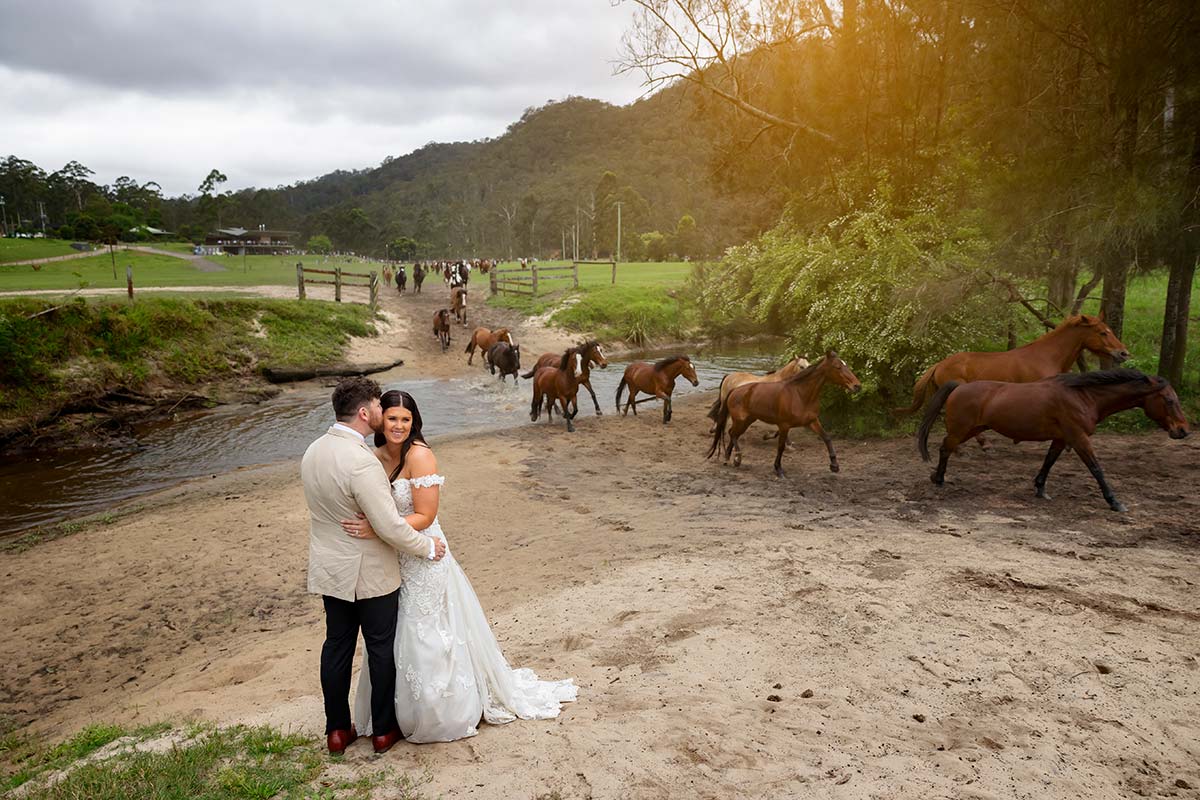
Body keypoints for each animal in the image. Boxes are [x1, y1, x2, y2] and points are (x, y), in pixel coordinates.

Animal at [700, 352, 864, 479]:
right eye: (838, 367)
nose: (857, 386)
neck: (800, 394)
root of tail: (734, 390)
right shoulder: (784, 425)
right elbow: (780, 446)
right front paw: (779, 470)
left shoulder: (812, 421)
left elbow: (827, 438)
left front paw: (834, 466)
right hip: (741, 420)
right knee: (732, 433)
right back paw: (736, 457)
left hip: (747, 420)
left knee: (732, 433)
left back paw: (730, 458)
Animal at [916, 369, 1190, 513]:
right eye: (1169, 400)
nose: (1183, 430)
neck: (1084, 396)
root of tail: (958, 386)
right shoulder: (1079, 438)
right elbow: (1096, 469)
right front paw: (1115, 502)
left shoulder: (1061, 438)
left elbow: (1048, 463)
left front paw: (1040, 489)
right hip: (962, 430)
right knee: (945, 447)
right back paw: (938, 479)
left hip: (973, 429)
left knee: (947, 447)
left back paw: (936, 477)